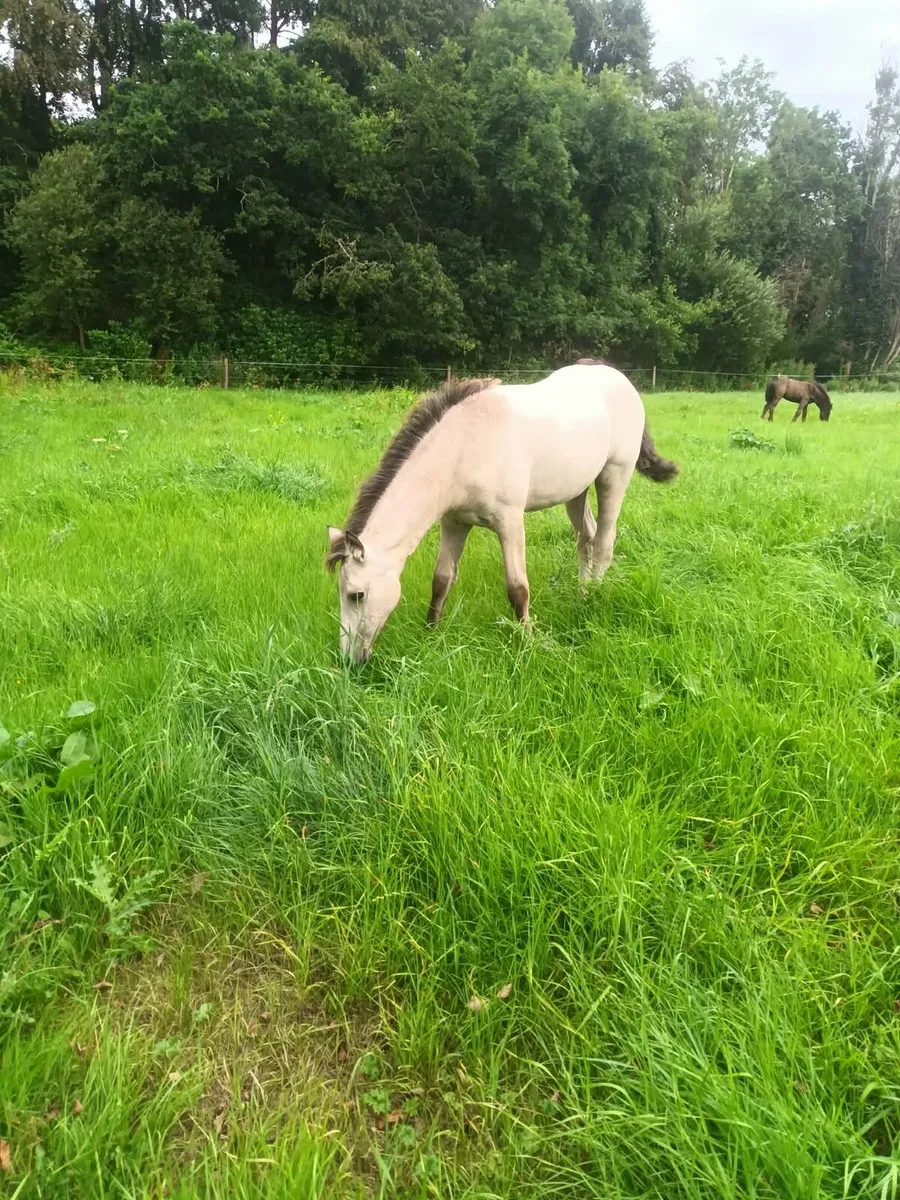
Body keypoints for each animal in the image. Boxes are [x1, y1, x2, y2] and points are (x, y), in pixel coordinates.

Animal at [326, 362, 679, 662]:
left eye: (356, 595)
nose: (349, 660)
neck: (464, 446)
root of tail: (620, 379)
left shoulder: (509, 522)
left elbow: (517, 588)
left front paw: (528, 643)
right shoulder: (454, 522)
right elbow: (441, 580)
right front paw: (430, 635)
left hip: (613, 476)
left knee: (605, 539)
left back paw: (593, 595)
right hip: (576, 490)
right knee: (586, 536)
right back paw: (581, 592)